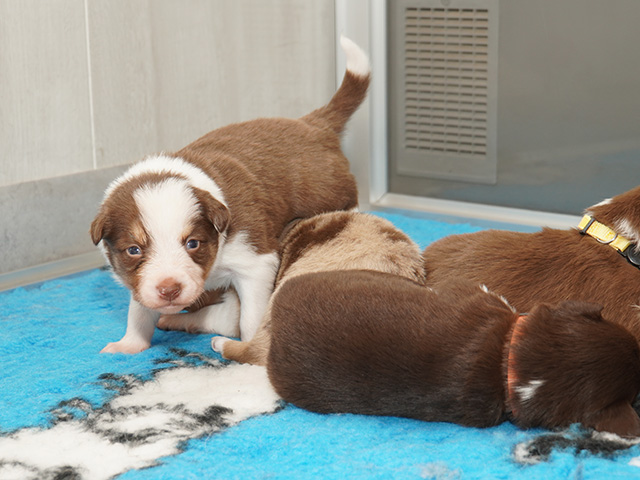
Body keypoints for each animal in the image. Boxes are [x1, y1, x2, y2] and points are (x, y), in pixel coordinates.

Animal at [90, 36, 370, 354]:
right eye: (134, 250)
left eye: (193, 243)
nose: (170, 289)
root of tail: (314, 124)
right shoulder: (141, 280)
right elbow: (138, 309)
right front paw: (128, 345)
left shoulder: (255, 261)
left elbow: (249, 316)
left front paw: (247, 347)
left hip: (341, 199)